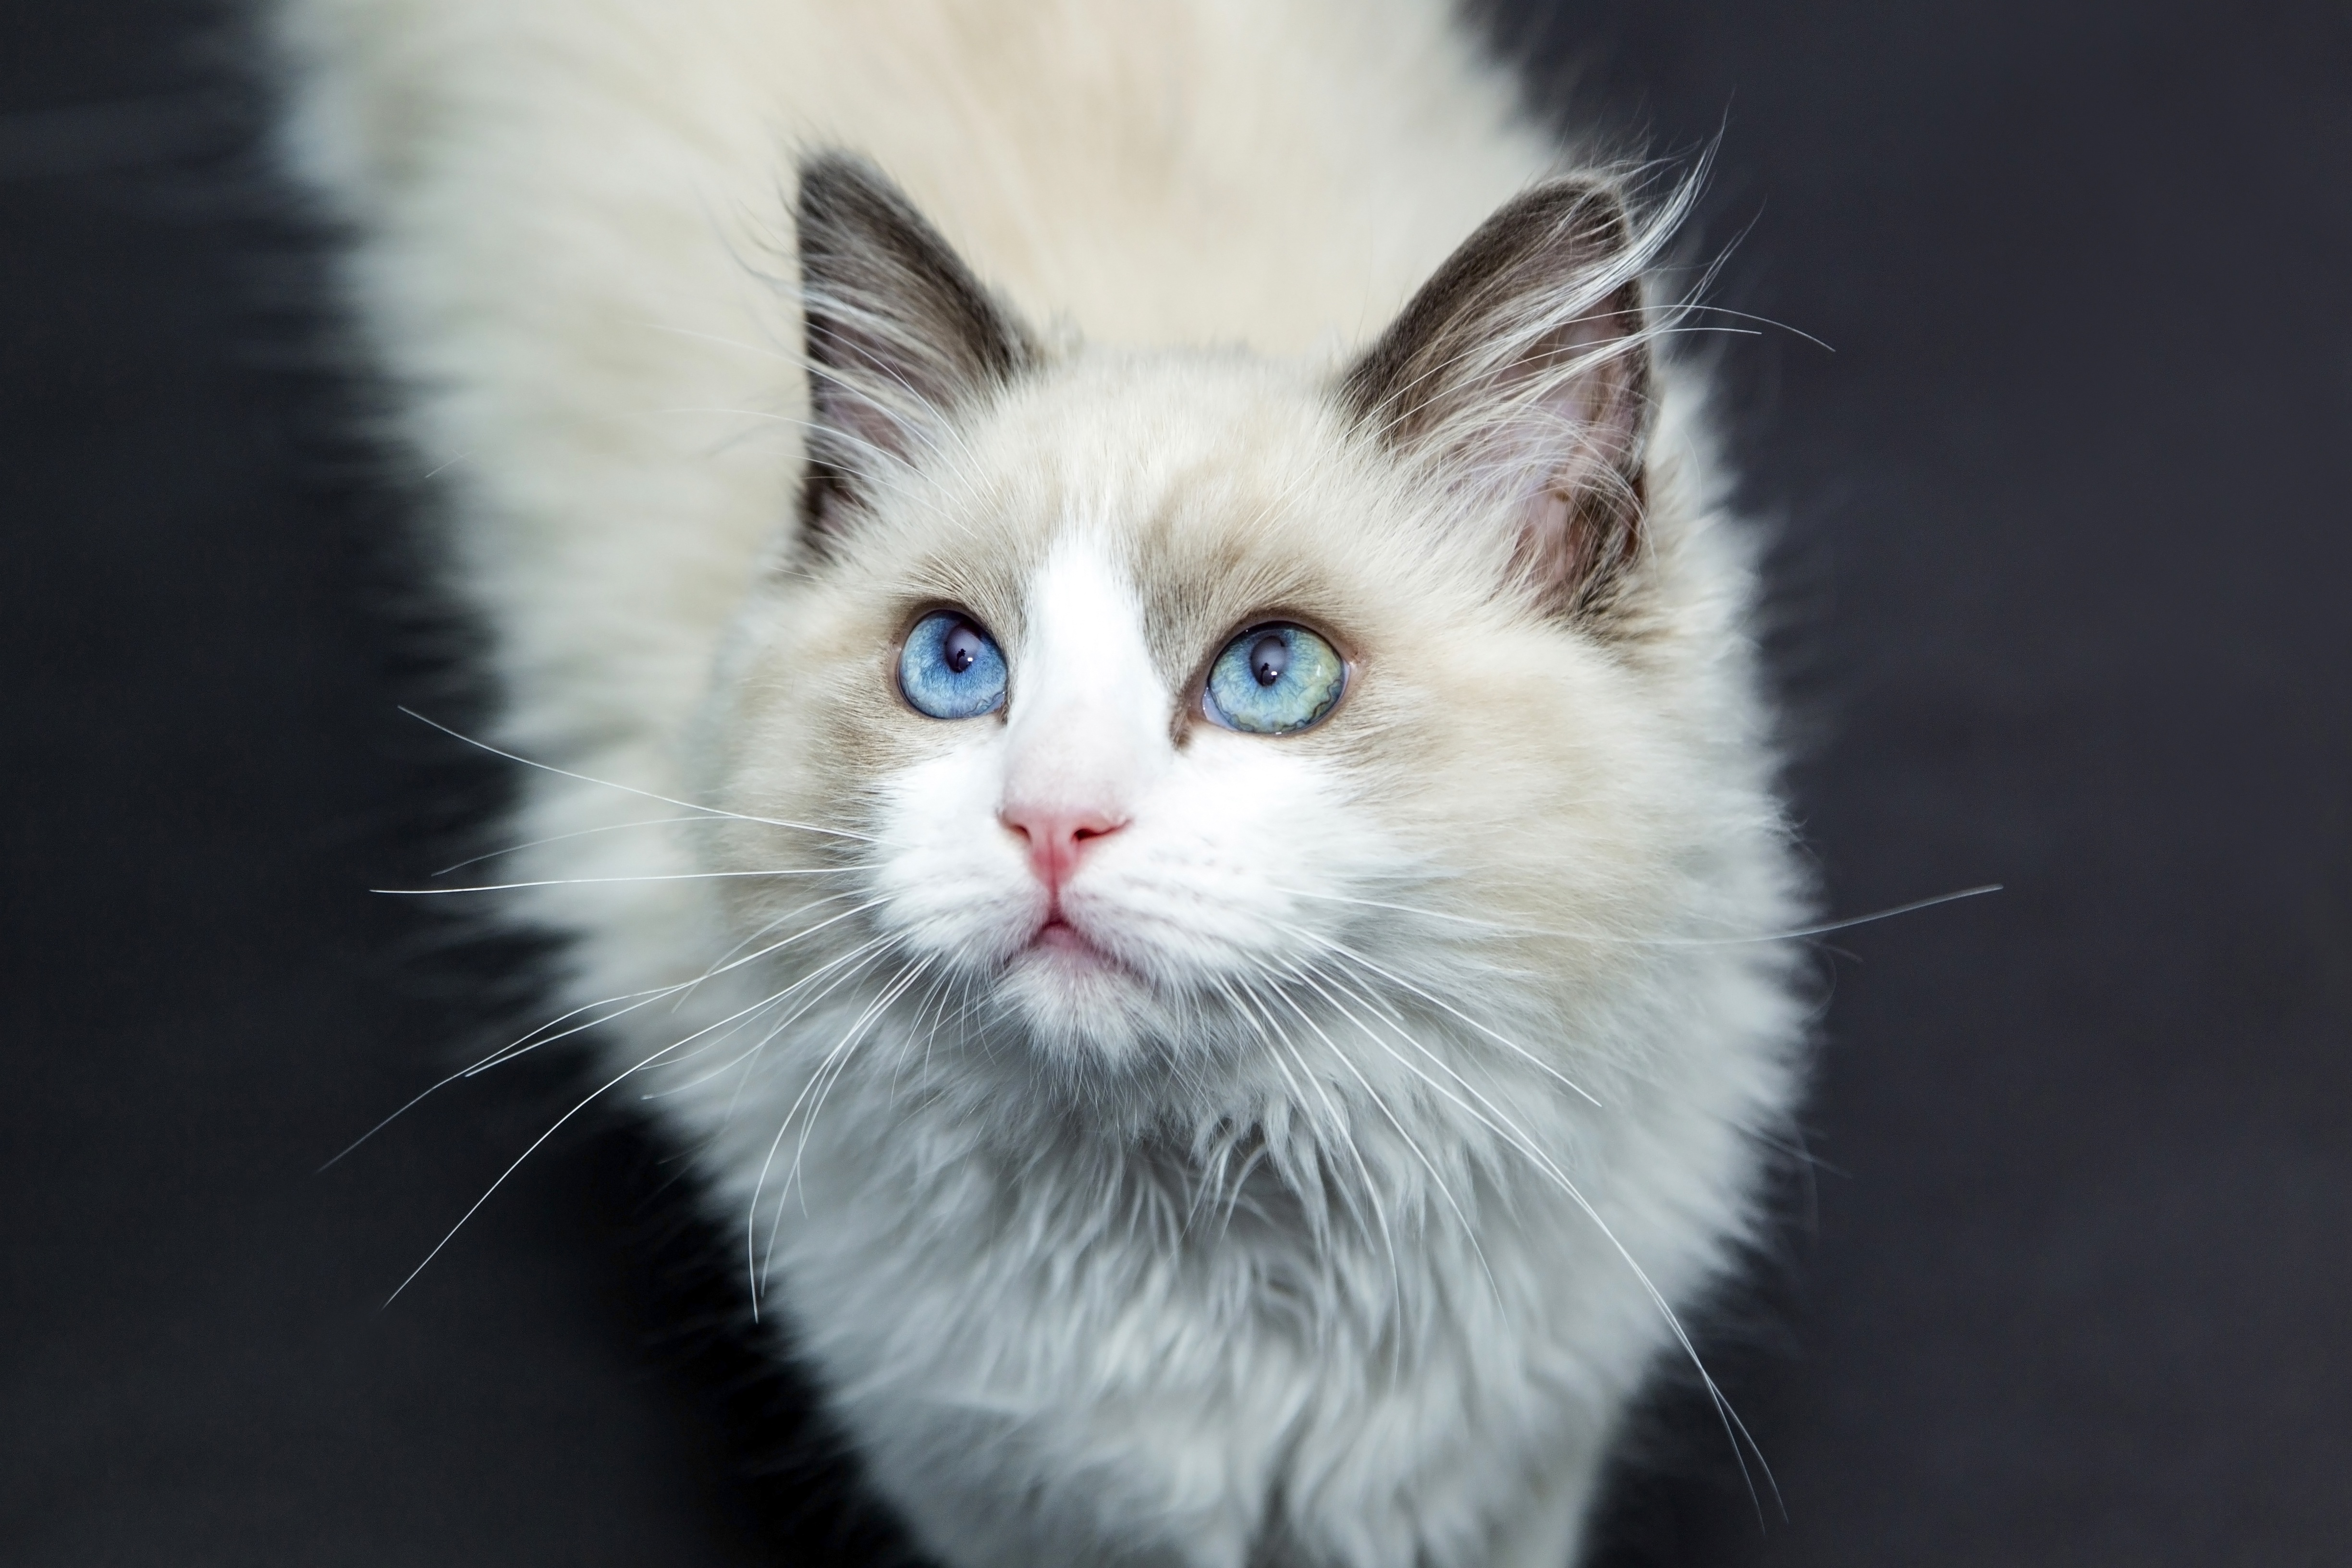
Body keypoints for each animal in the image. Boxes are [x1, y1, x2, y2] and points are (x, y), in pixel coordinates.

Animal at [280, 6, 1815, 1561]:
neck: (1208, 1251)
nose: (1052, 821)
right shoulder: (990, 1488)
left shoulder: (1497, 1481)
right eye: (956, 665)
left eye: (1273, 676)